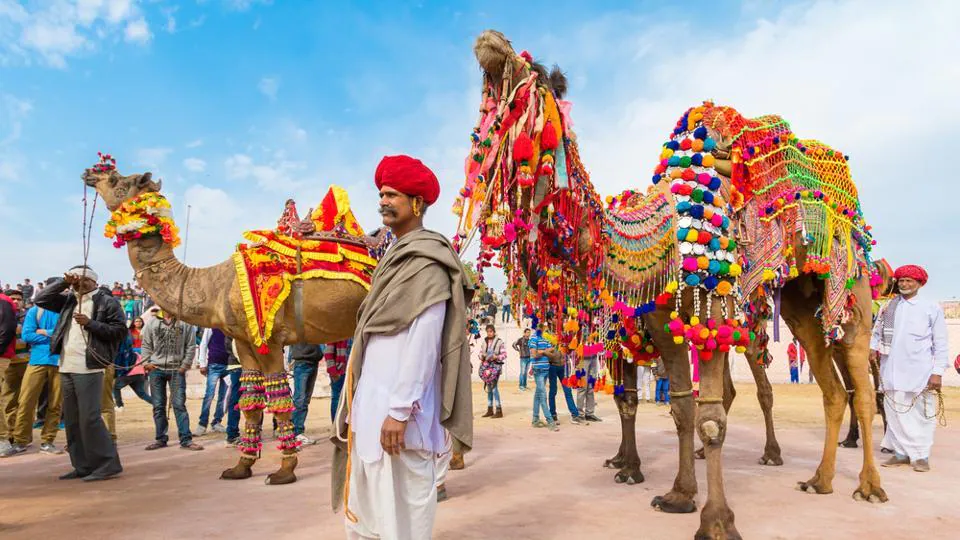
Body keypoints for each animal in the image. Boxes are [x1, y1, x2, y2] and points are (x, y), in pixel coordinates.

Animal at [81, 156, 382, 486]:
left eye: (119, 181)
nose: (90, 172)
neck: (214, 285)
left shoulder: (270, 340)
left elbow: (279, 401)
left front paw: (284, 471)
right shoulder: (243, 340)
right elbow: (250, 402)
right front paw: (241, 466)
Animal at [454, 30, 888, 540]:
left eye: (533, 76)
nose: (490, 42)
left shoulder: (710, 309)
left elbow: (709, 418)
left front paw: (716, 520)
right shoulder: (660, 325)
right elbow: (678, 408)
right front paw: (676, 494)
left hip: (844, 288)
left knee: (855, 386)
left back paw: (862, 484)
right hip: (800, 306)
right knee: (832, 389)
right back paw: (819, 480)